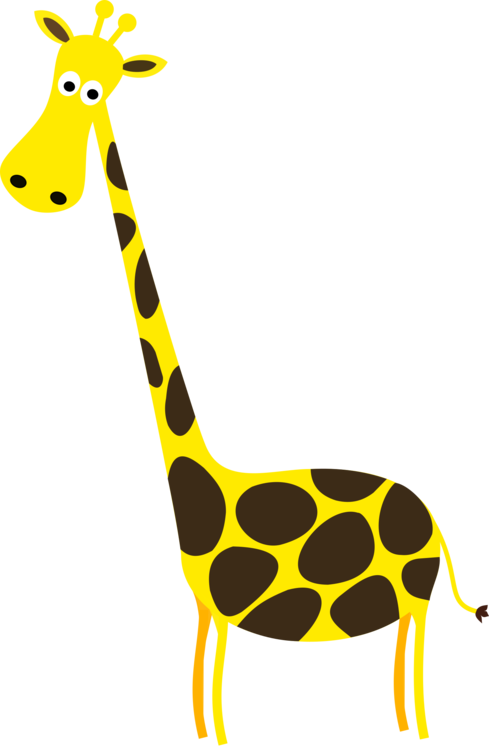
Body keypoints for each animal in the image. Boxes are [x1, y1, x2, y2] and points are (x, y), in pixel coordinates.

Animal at [0, 2, 486, 746]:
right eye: (59, 74)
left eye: (94, 91)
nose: (34, 185)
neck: (201, 483)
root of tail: (436, 522)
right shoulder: (204, 613)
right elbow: (199, 697)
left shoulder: (229, 616)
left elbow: (220, 704)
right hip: (407, 606)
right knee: (403, 674)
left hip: (416, 602)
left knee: (417, 673)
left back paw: (422, 732)